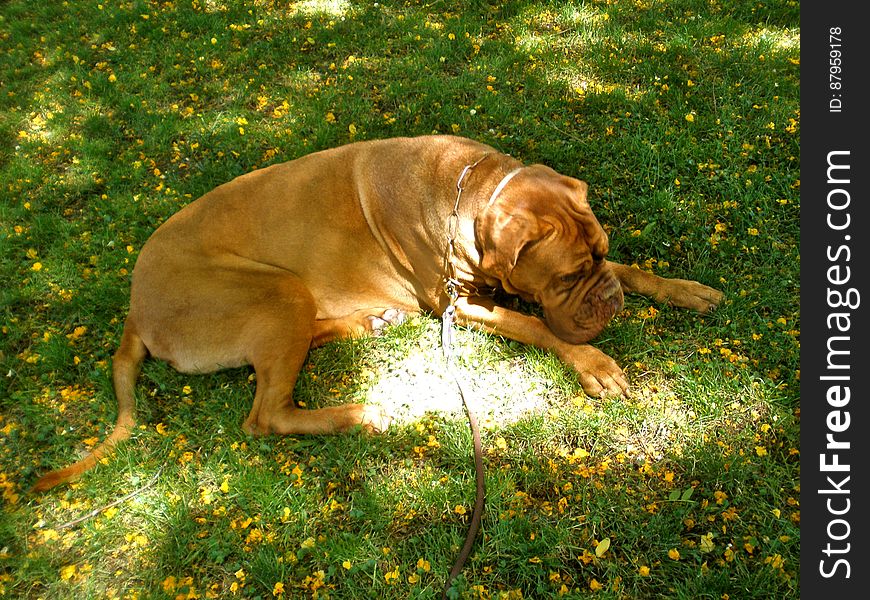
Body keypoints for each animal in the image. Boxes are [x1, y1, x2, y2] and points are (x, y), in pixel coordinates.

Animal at [34, 137, 724, 492]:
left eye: (598, 257)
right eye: (566, 278)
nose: (608, 304)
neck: (469, 194)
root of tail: (134, 308)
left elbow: (635, 270)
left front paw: (680, 288)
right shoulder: (458, 302)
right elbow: (534, 324)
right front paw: (591, 362)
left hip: (286, 300)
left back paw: (367, 324)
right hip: (273, 291)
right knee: (265, 416)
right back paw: (362, 412)